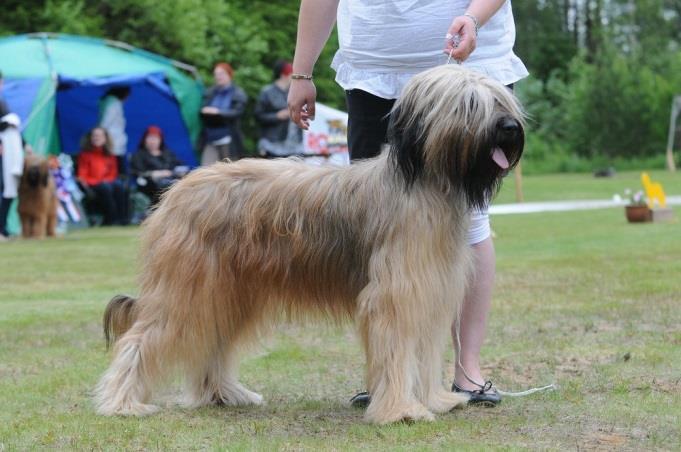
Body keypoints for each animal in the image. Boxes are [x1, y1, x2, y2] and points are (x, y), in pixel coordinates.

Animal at [93, 65, 524, 426]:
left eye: (499, 99)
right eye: (468, 103)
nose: (509, 127)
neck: (424, 183)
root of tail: (176, 190)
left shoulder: (431, 290)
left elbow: (424, 352)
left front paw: (433, 400)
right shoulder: (397, 295)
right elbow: (399, 350)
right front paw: (402, 410)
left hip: (228, 292)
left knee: (213, 341)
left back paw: (223, 393)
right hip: (190, 287)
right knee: (140, 339)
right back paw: (121, 402)